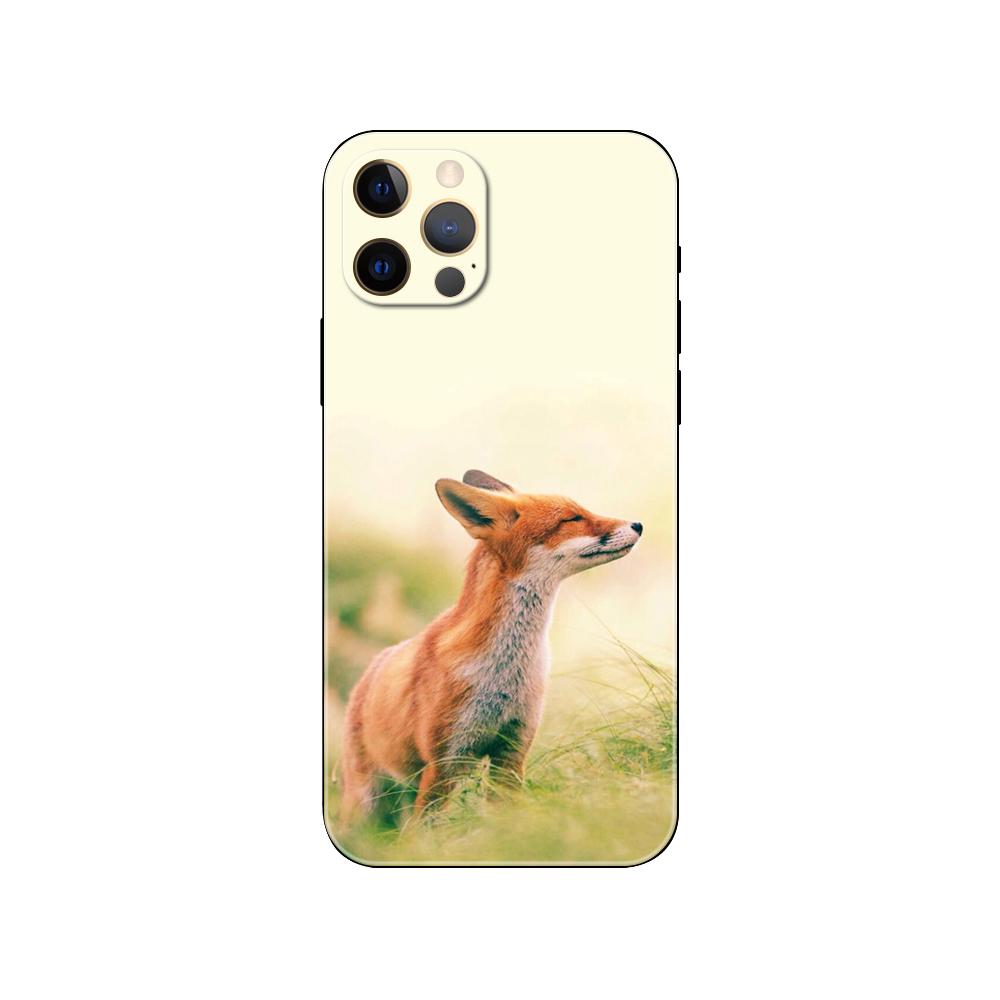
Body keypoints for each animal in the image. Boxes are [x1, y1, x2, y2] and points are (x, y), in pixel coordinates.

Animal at [339, 470, 643, 821]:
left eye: (582, 510)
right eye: (572, 518)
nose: (638, 524)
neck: (505, 671)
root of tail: (366, 674)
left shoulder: (512, 750)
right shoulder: (444, 762)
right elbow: (427, 830)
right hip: (366, 802)